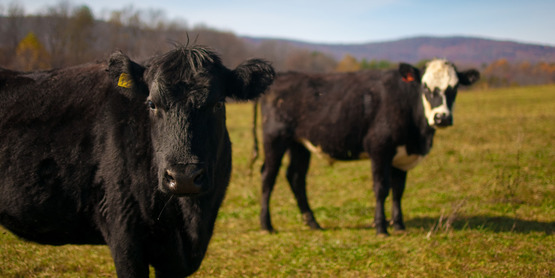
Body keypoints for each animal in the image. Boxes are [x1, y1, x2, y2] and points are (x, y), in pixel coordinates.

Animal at [254, 59, 480, 236]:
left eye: (455, 88)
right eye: (425, 87)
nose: (442, 117)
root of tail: (281, 76)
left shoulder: (401, 157)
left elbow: (398, 191)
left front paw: (399, 225)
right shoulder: (379, 149)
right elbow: (381, 188)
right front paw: (381, 227)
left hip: (299, 144)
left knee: (296, 177)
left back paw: (313, 222)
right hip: (275, 139)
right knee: (267, 177)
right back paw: (266, 225)